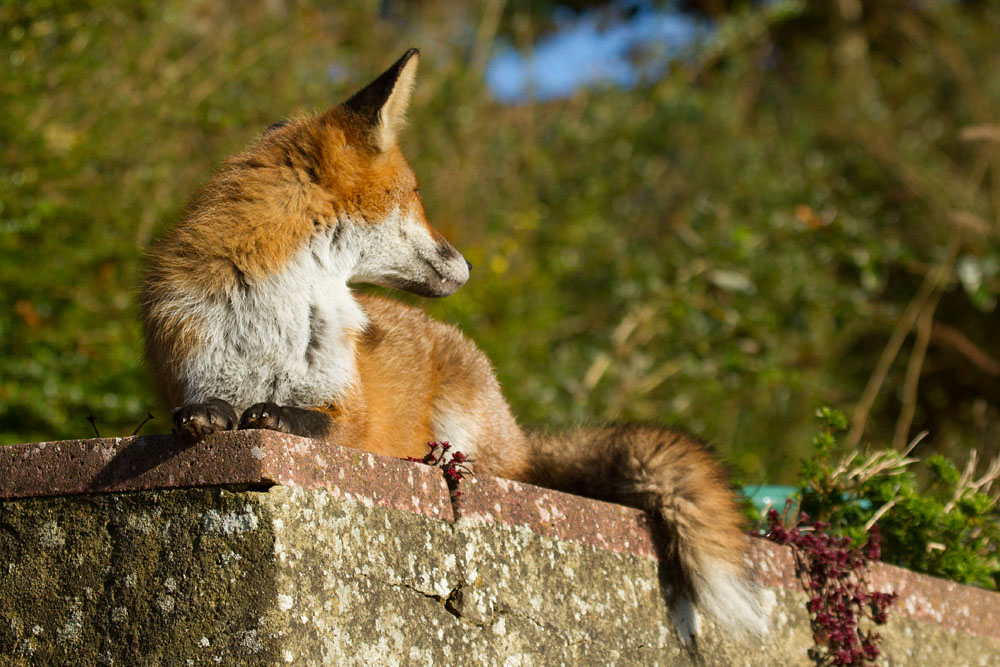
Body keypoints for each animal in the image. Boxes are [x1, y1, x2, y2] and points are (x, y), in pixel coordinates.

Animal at [141, 48, 770, 643]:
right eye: (416, 193)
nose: (468, 266)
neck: (276, 318)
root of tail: (517, 432)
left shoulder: (347, 410)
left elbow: (308, 420)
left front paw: (272, 417)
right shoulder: (192, 363)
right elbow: (201, 407)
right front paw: (206, 418)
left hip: (468, 424)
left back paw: (442, 459)